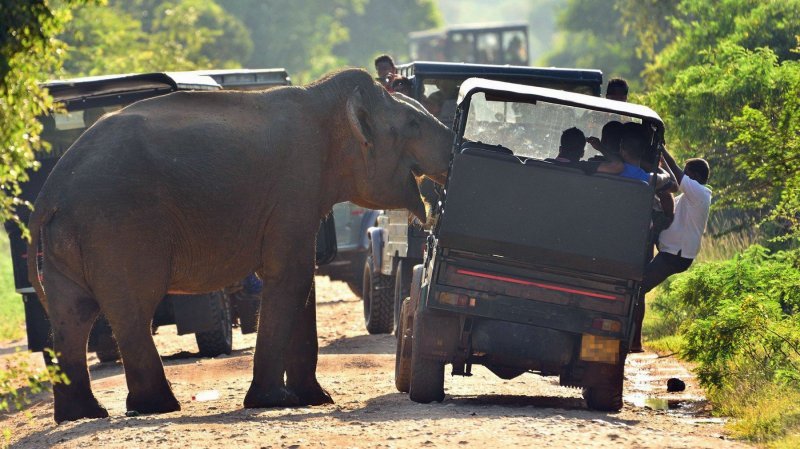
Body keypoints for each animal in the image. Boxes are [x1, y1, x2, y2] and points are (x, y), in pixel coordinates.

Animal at [28, 66, 454, 420]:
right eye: (414, 123)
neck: (324, 100)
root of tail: (51, 192)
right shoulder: (294, 188)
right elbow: (290, 276)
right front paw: (274, 401)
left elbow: (300, 281)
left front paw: (315, 399)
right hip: (118, 226)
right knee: (131, 309)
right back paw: (158, 407)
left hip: (70, 240)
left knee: (73, 315)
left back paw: (83, 414)